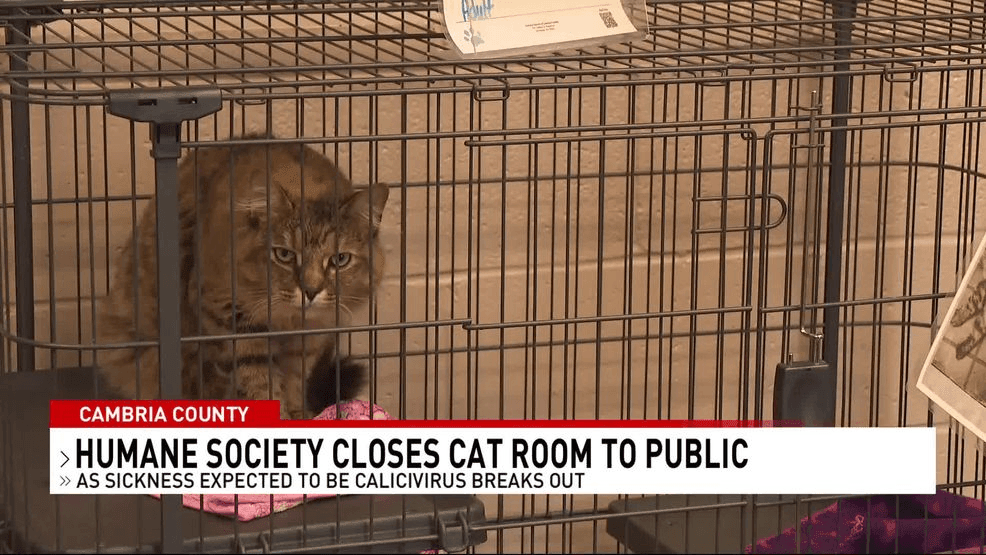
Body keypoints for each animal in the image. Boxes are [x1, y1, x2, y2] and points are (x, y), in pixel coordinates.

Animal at [95, 134, 389, 419]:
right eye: (284, 254)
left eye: (340, 260)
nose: (310, 290)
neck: (288, 321)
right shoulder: (231, 321)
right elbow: (258, 382)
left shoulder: (310, 338)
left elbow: (294, 380)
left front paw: (298, 414)